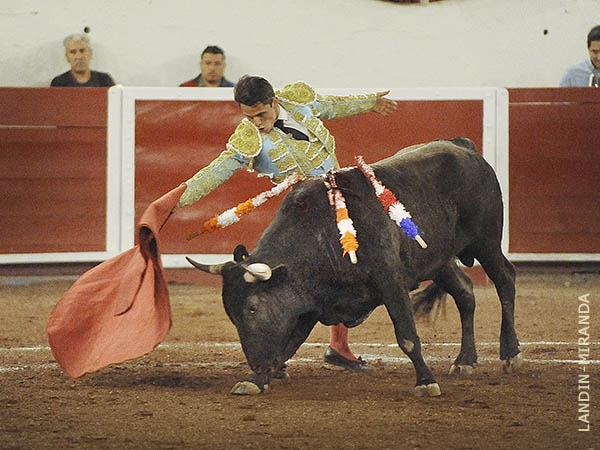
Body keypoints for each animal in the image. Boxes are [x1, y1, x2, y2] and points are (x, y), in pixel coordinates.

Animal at [188, 139, 520, 396]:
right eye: (231, 314)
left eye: (253, 308)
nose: (257, 364)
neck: (320, 233)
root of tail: (463, 147)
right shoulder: (311, 302)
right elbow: (289, 343)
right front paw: (255, 380)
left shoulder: (390, 281)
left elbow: (407, 335)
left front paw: (426, 382)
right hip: (438, 260)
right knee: (465, 293)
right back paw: (465, 360)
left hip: (486, 241)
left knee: (505, 279)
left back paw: (511, 353)